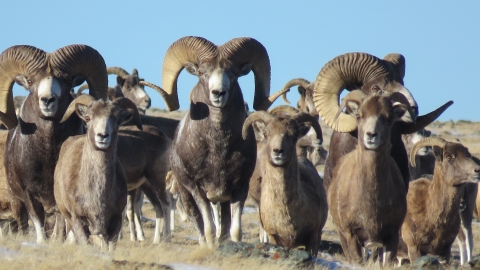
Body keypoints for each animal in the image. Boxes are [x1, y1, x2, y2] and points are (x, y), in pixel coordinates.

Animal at [0, 44, 107, 243]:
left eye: (67, 81)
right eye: (30, 80)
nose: (48, 100)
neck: (48, 156)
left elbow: (69, 229)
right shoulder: (29, 196)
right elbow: (39, 226)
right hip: (17, 202)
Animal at [54, 95, 142, 249]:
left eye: (118, 120)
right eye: (88, 118)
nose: (102, 136)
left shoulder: (115, 223)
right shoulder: (78, 221)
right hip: (64, 216)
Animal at [164, 35, 284, 247]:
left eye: (234, 73)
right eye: (202, 72)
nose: (218, 93)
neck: (218, 149)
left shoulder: (239, 189)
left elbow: (234, 230)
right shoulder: (198, 190)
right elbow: (209, 229)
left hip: (222, 201)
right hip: (187, 194)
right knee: (199, 224)